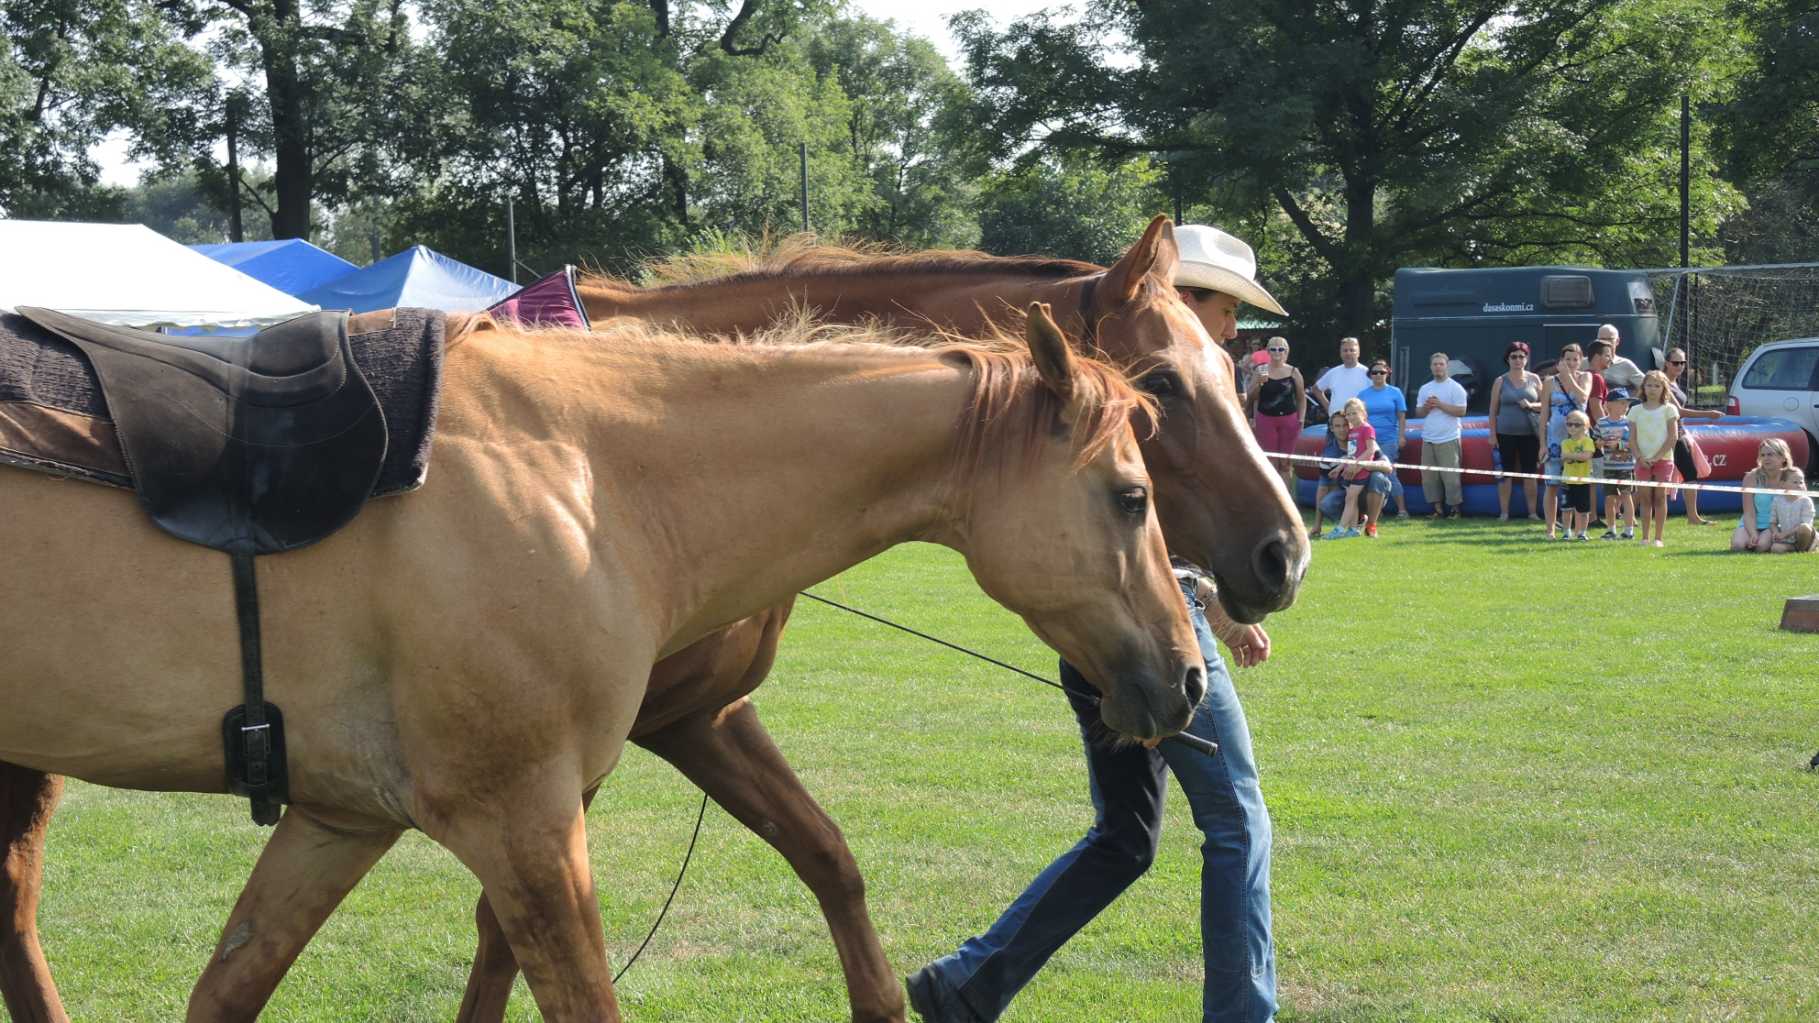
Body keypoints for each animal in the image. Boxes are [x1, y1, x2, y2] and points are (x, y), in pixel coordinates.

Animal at [0, 305, 1193, 1012]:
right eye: (1132, 496)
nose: (1185, 676)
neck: (592, 475)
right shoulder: (526, 827)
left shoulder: (341, 820)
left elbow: (230, 984)